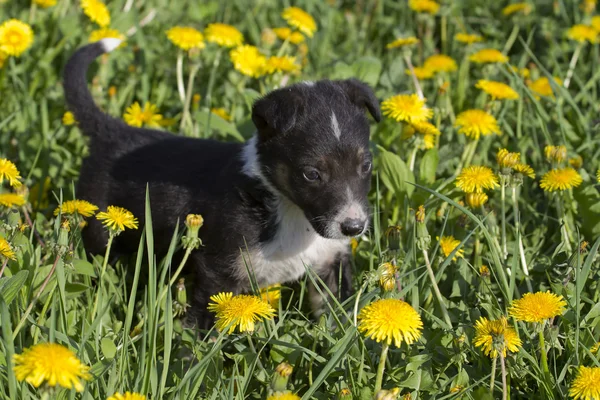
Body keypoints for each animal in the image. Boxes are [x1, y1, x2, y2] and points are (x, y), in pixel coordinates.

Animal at [62, 39, 380, 330]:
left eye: (366, 166)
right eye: (312, 174)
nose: (354, 228)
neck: (291, 212)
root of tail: (111, 131)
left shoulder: (331, 264)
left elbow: (337, 319)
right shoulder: (219, 272)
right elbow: (200, 332)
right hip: (101, 230)